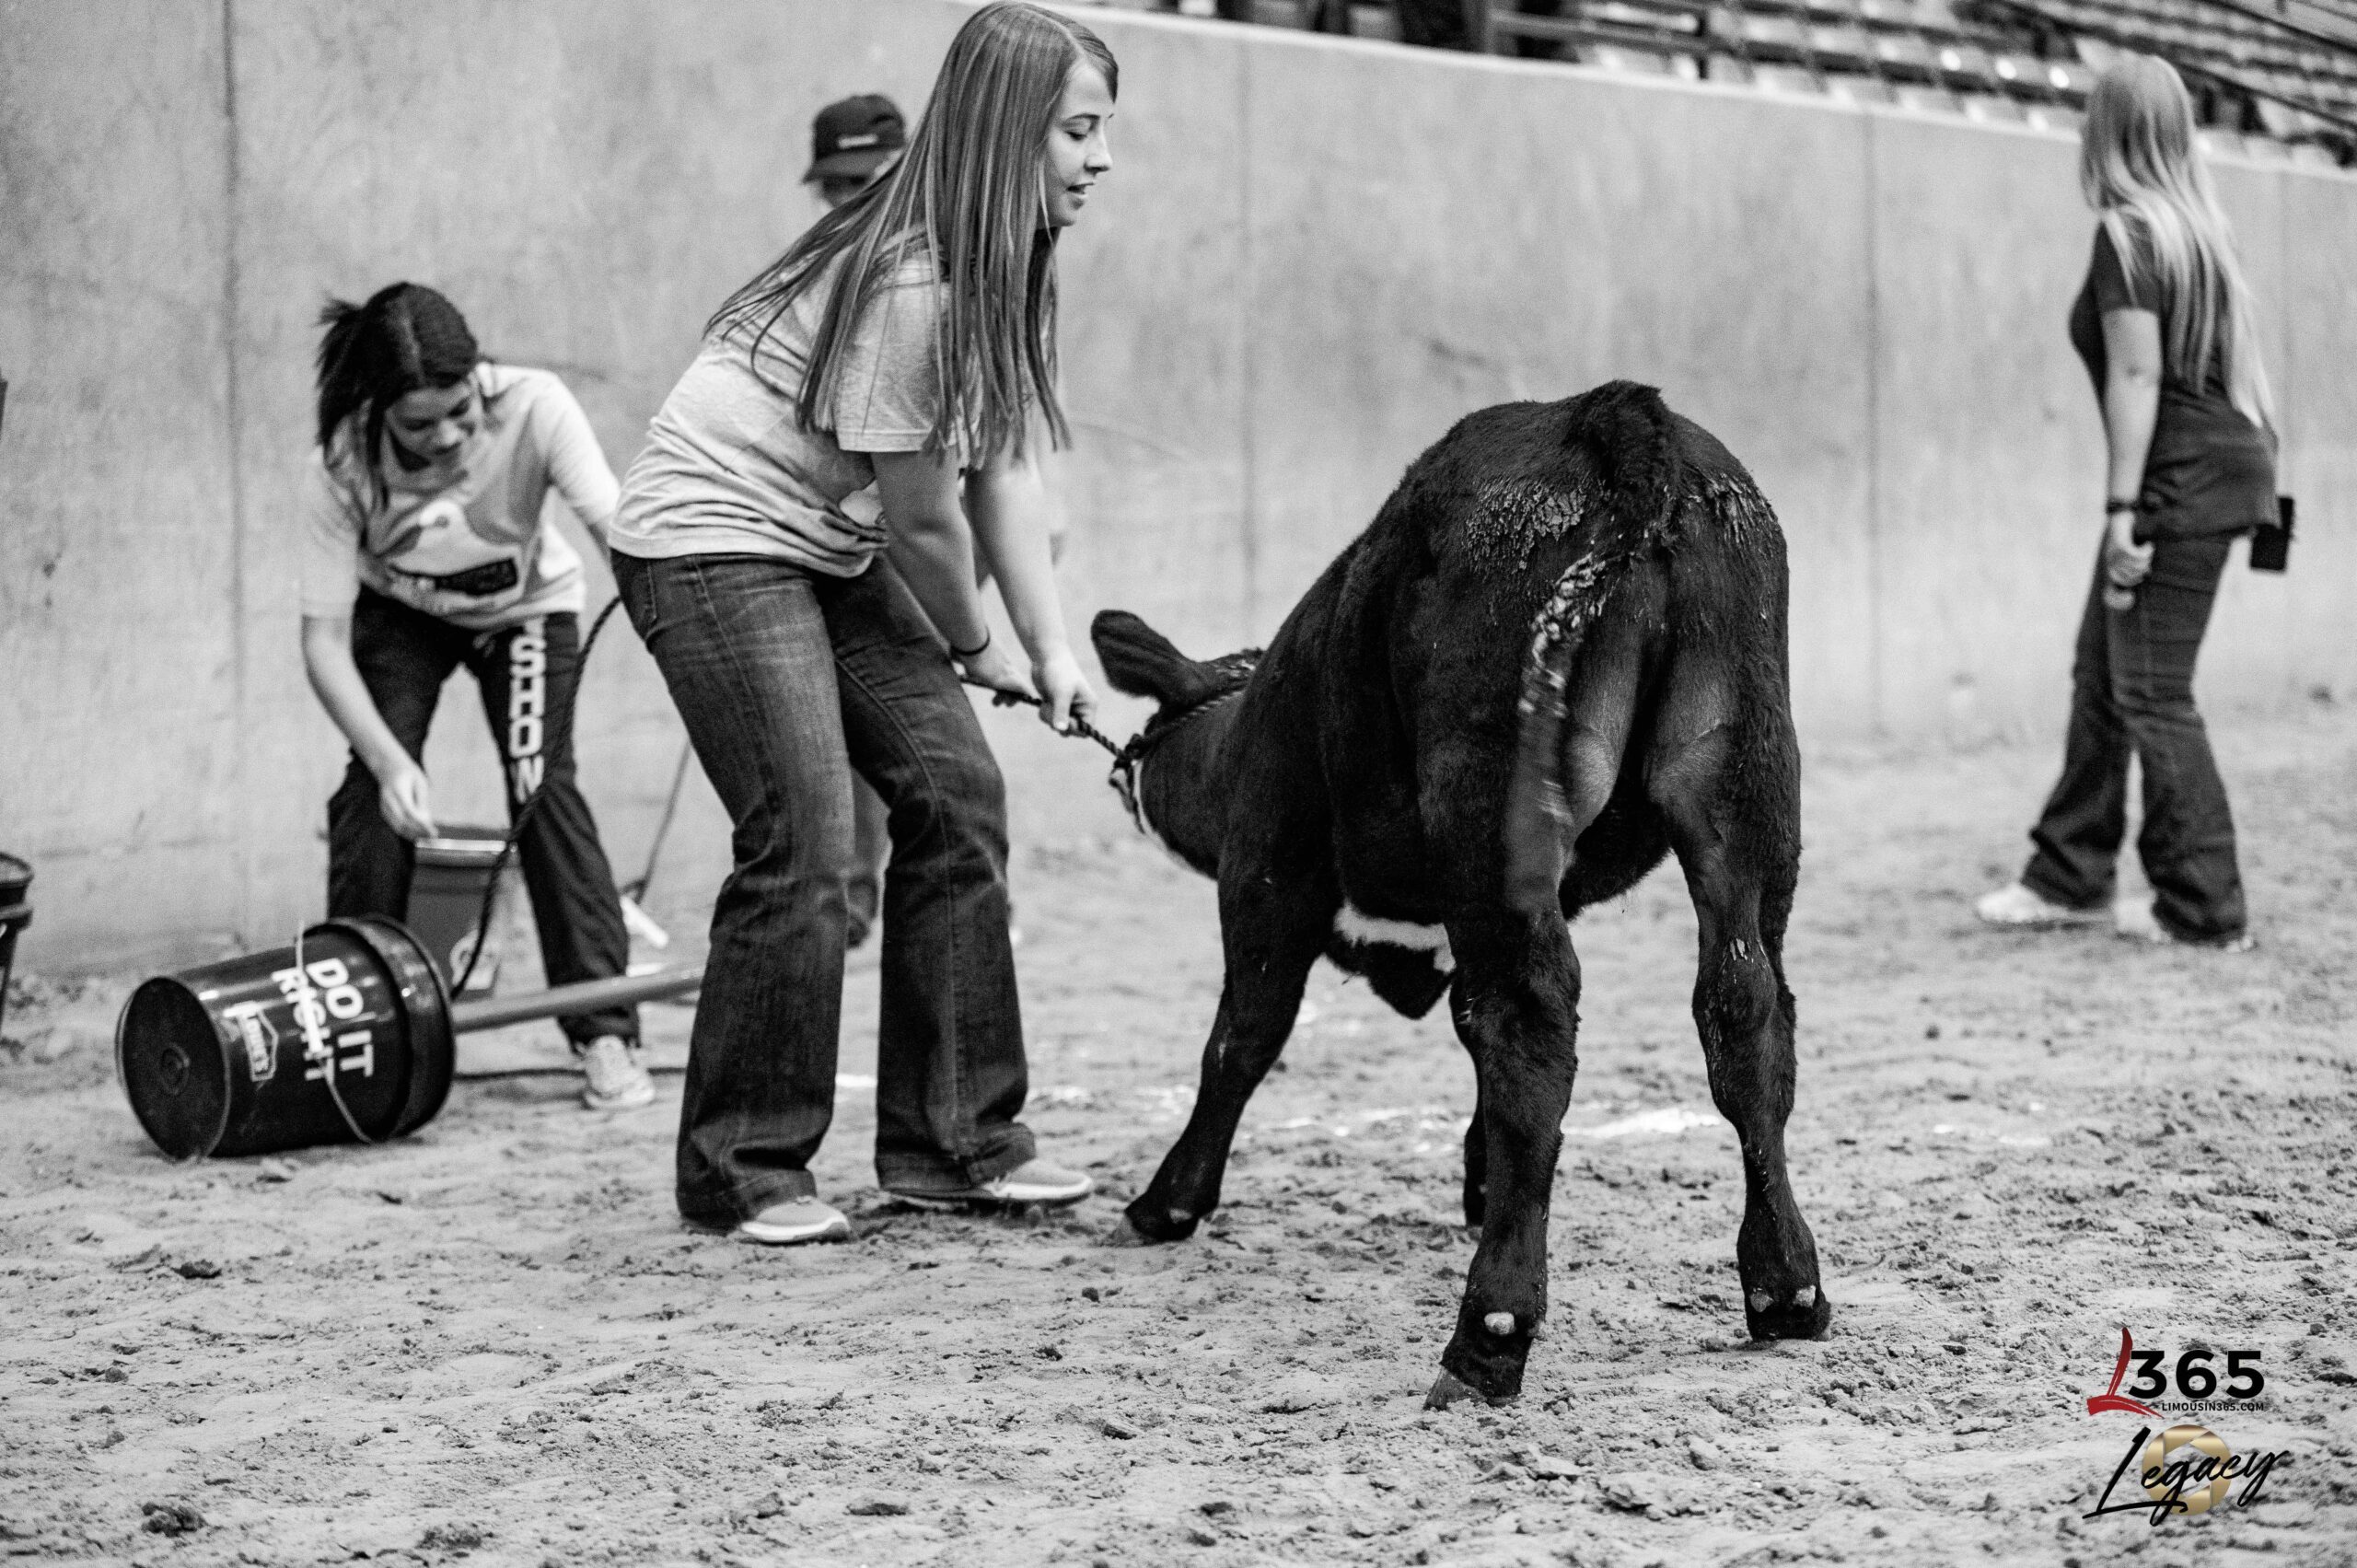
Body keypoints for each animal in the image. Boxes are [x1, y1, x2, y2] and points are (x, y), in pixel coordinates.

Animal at [1088, 381, 1832, 1408]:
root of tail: (1612, 416)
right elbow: (1469, 1032)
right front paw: (1484, 1183)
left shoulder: (1267, 872)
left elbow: (1242, 1039)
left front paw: (1167, 1202)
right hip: (1738, 775)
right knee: (1745, 1010)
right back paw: (1785, 1287)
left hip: (1489, 786)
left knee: (1534, 1021)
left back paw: (1489, 1333)